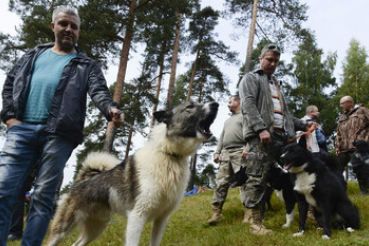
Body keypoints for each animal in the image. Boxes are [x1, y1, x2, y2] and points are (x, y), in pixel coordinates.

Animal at [46, 101, 218, 246]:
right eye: (190, 107)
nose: (215, 104)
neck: (168, 155)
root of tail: (84, 178)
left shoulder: (162, 219)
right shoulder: (137, 216)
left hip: (96, 227)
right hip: (64, 227)